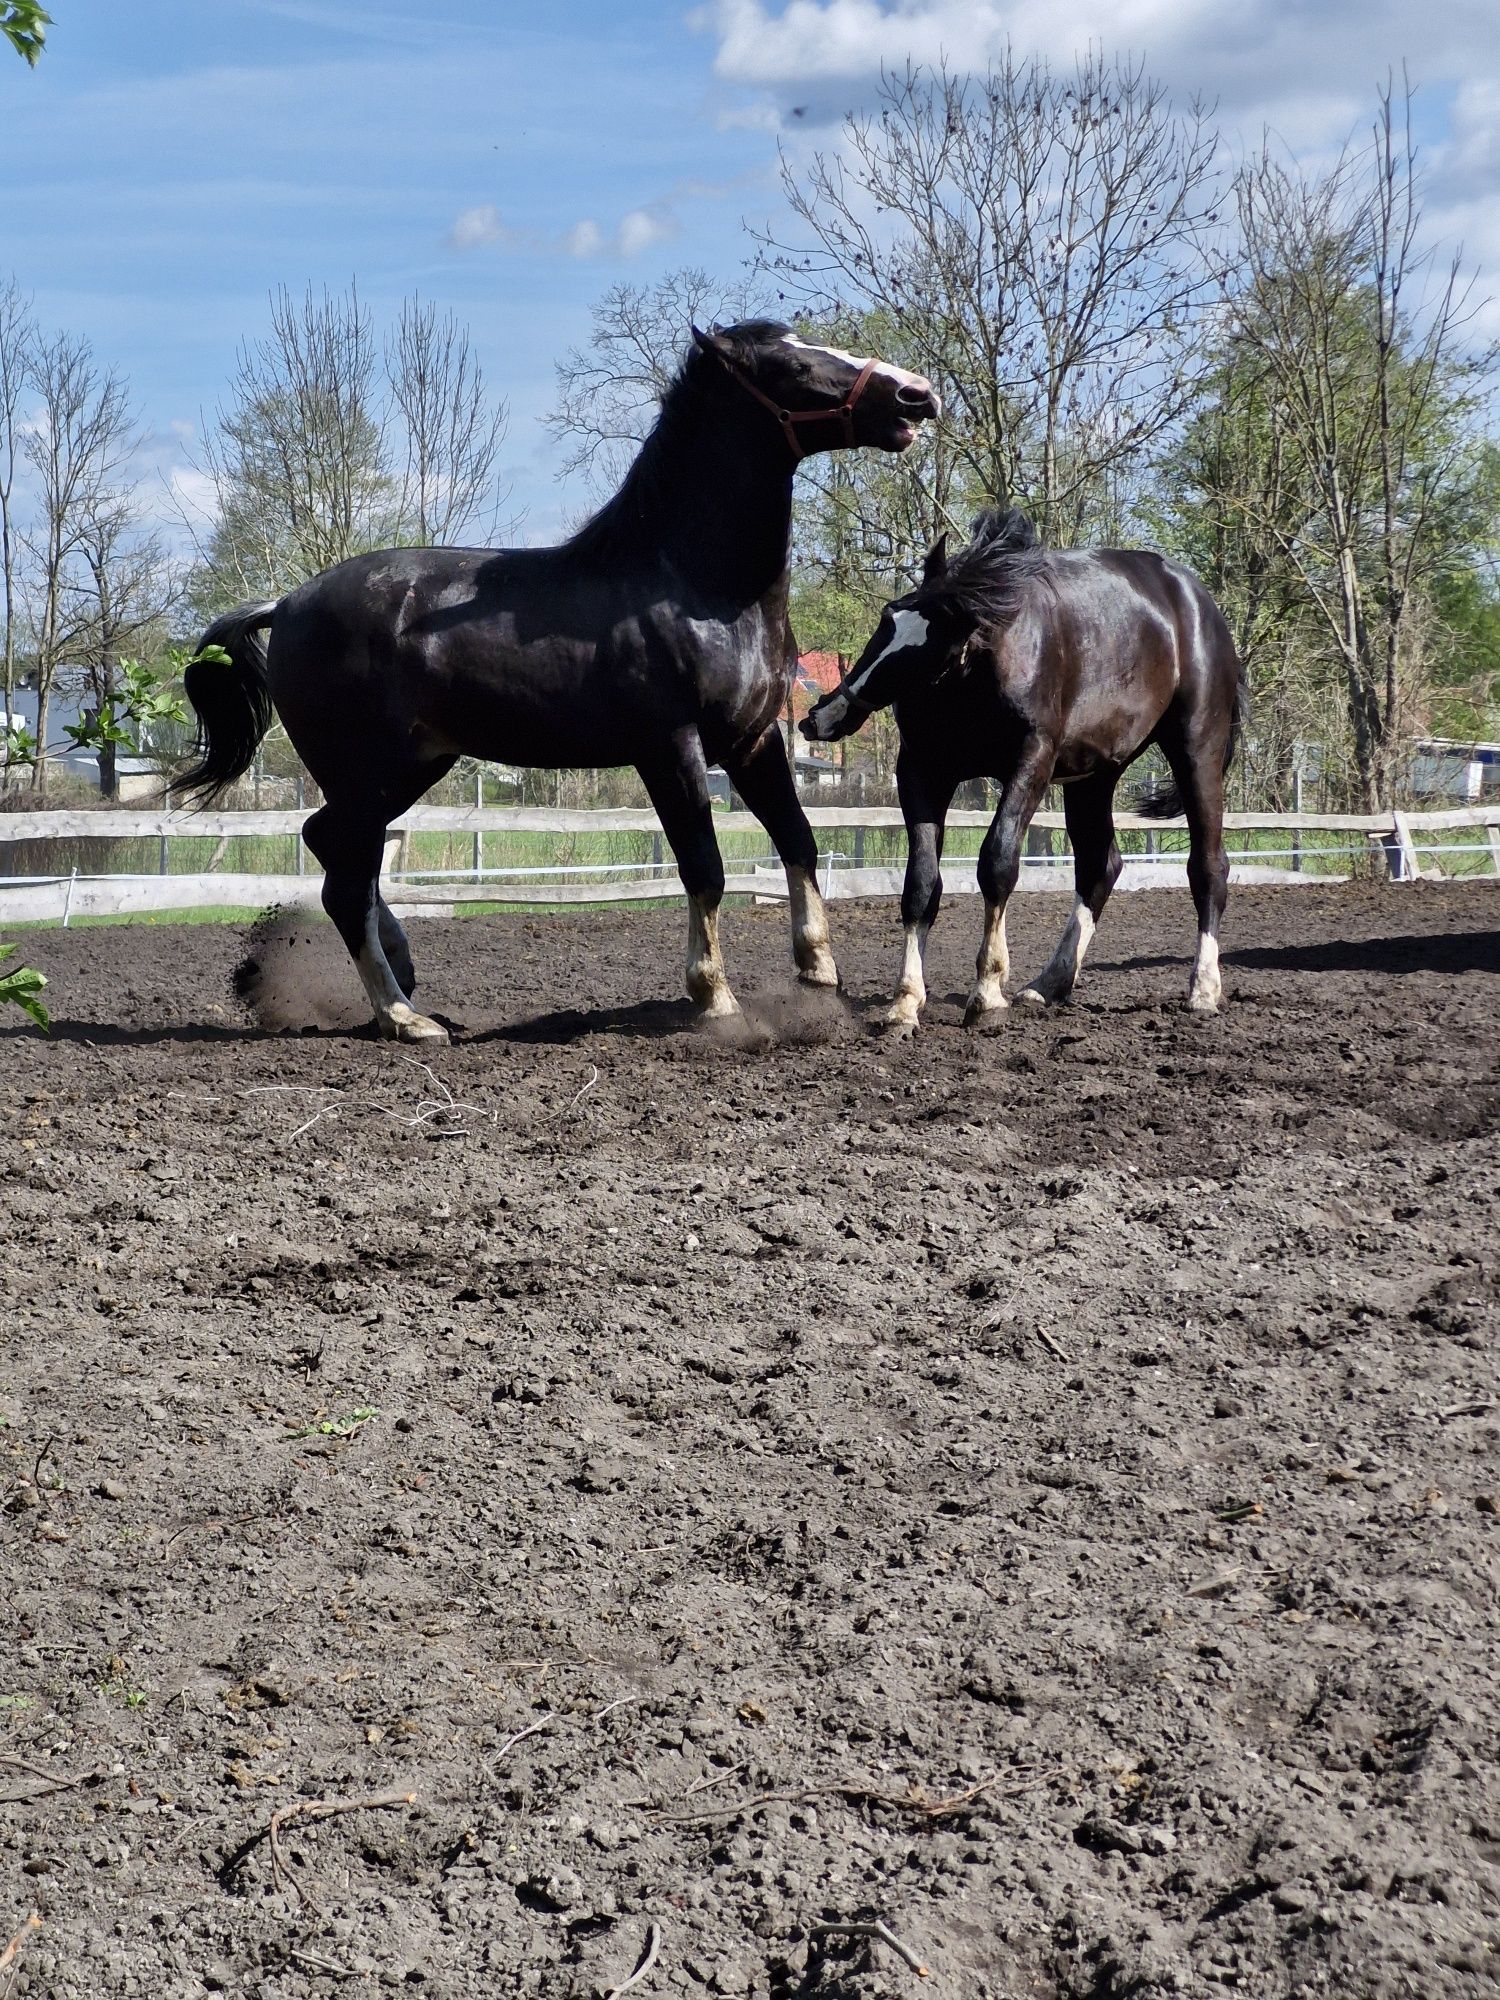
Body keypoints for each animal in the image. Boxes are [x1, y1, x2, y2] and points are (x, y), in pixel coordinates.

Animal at [170, 320, 936, 1040]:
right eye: (791, 367)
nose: (916, 394)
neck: (698, 589)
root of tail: (285, 605)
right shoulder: (670, 747)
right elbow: (704, 866)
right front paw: (714, 998)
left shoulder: (752, 741)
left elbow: (797, 840)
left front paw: (818, 974)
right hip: (368, 773)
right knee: (344, 880)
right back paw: (402, 1015)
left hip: (406, 768)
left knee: (331, 847)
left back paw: (406, 977)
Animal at [804, 508, 1248, 1032]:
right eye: (888, 617)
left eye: (930, 648)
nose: (820, 716)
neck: (975, 674)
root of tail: (1199, 603)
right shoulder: (922, 772)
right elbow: (920, 883)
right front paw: (905, 1001)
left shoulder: (1031, 762)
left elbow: (997, 863)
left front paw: (988, 989)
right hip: (1093, 777)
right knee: (1099, 867)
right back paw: (1048, 985)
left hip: (1197, 752)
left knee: (1209, 866)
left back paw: (1203, 989)